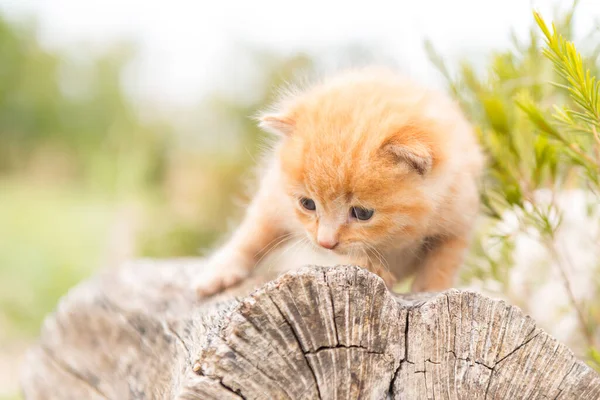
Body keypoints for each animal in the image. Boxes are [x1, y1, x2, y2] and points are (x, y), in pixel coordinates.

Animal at [195, 66, 486, 296]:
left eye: (362, 213)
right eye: (308, 204)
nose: (325, 241)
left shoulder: (459, 215)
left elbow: (444, 260)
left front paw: (430, 289)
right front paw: (372, 267)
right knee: (254, 231)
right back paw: (218, 273)